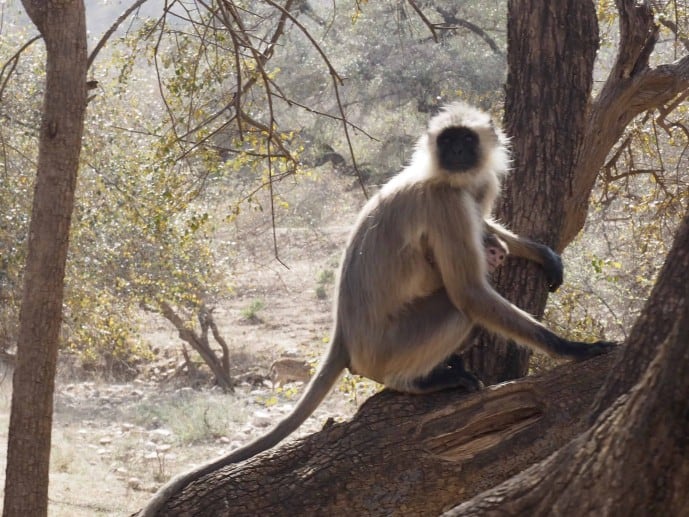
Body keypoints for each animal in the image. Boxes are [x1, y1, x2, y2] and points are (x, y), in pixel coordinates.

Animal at [140, 103, 612, 512]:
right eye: (448, 142)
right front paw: (574, 349)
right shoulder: (446, 203)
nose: (456, 154)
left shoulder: (473, 188)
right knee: (455, 308)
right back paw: (416, 382)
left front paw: (539, 253)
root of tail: (345, 335)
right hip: (390, 346)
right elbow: (468, 293)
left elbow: (486, 227)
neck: (448, 177)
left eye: (465, 140)